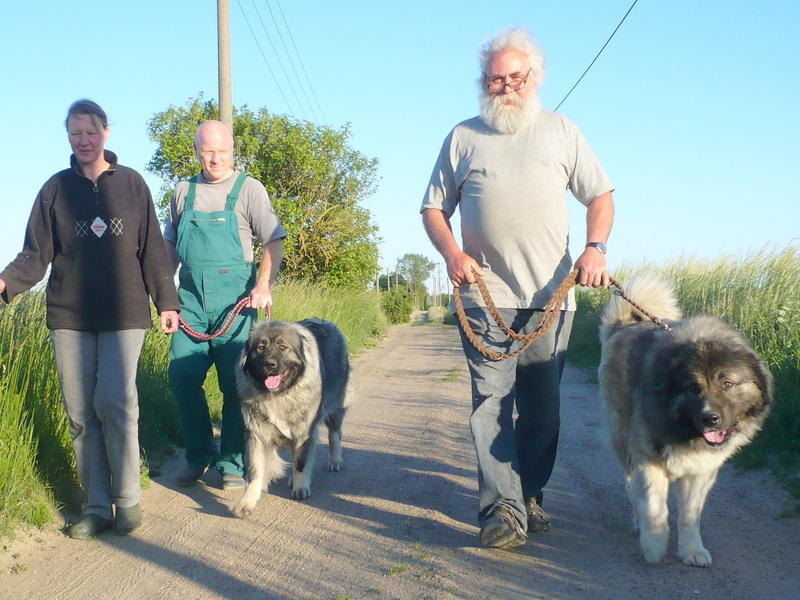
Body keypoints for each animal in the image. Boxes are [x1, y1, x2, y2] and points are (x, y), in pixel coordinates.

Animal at [230, 318, 352, 518]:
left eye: (283, 347)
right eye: (261, 348)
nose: (270, 364)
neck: (279, 394)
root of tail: (325, 322)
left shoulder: (304, 432)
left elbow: (301, 462)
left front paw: (301, 487)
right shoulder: (257, 432)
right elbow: (255, 469)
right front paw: (246, 502)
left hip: (335, 404)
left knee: (334, 434)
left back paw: (335, 461)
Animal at [598, 274, 772, 566]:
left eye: (727, 384)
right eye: (693, 387)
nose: (710, 418)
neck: (686, 431)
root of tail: (626, 325)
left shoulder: (700, 470)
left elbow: (689, 516)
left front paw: (692, 549)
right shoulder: (650, 459)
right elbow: (655, 508)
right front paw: (654, 545)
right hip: (622, 434)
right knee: (632, 484)